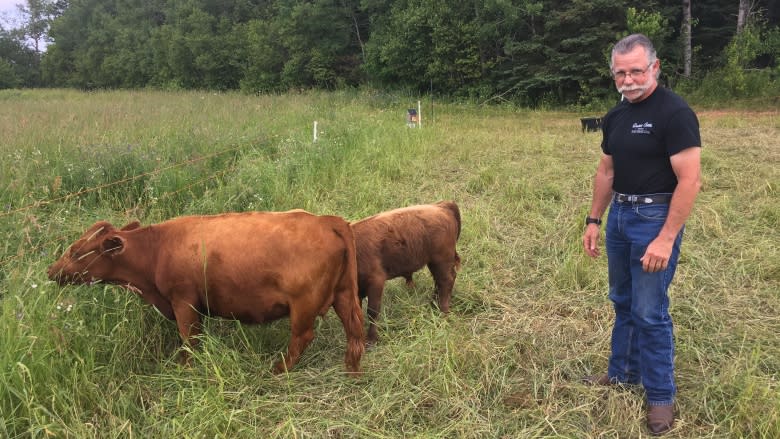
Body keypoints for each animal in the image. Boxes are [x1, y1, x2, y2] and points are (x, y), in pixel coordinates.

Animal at [47, 212, 364, 374]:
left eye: (75, 252)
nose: (51, 270)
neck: (157, 249)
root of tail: (327, 219)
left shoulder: (183, 302)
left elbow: (189, 339)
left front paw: (185, 368)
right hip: (344, 295)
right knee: (354, 331)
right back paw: (351, 369)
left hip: (303, 304)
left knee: (302, 338)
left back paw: (278, 370)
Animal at [350, 202, 460, 344]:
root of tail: (441, 206)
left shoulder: (376, 281)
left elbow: (372, 311)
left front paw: (372, 339)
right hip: (434, 262)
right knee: (439, 282)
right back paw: (433, 304)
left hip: (441, 260)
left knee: (446, 281)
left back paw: (443, 312)